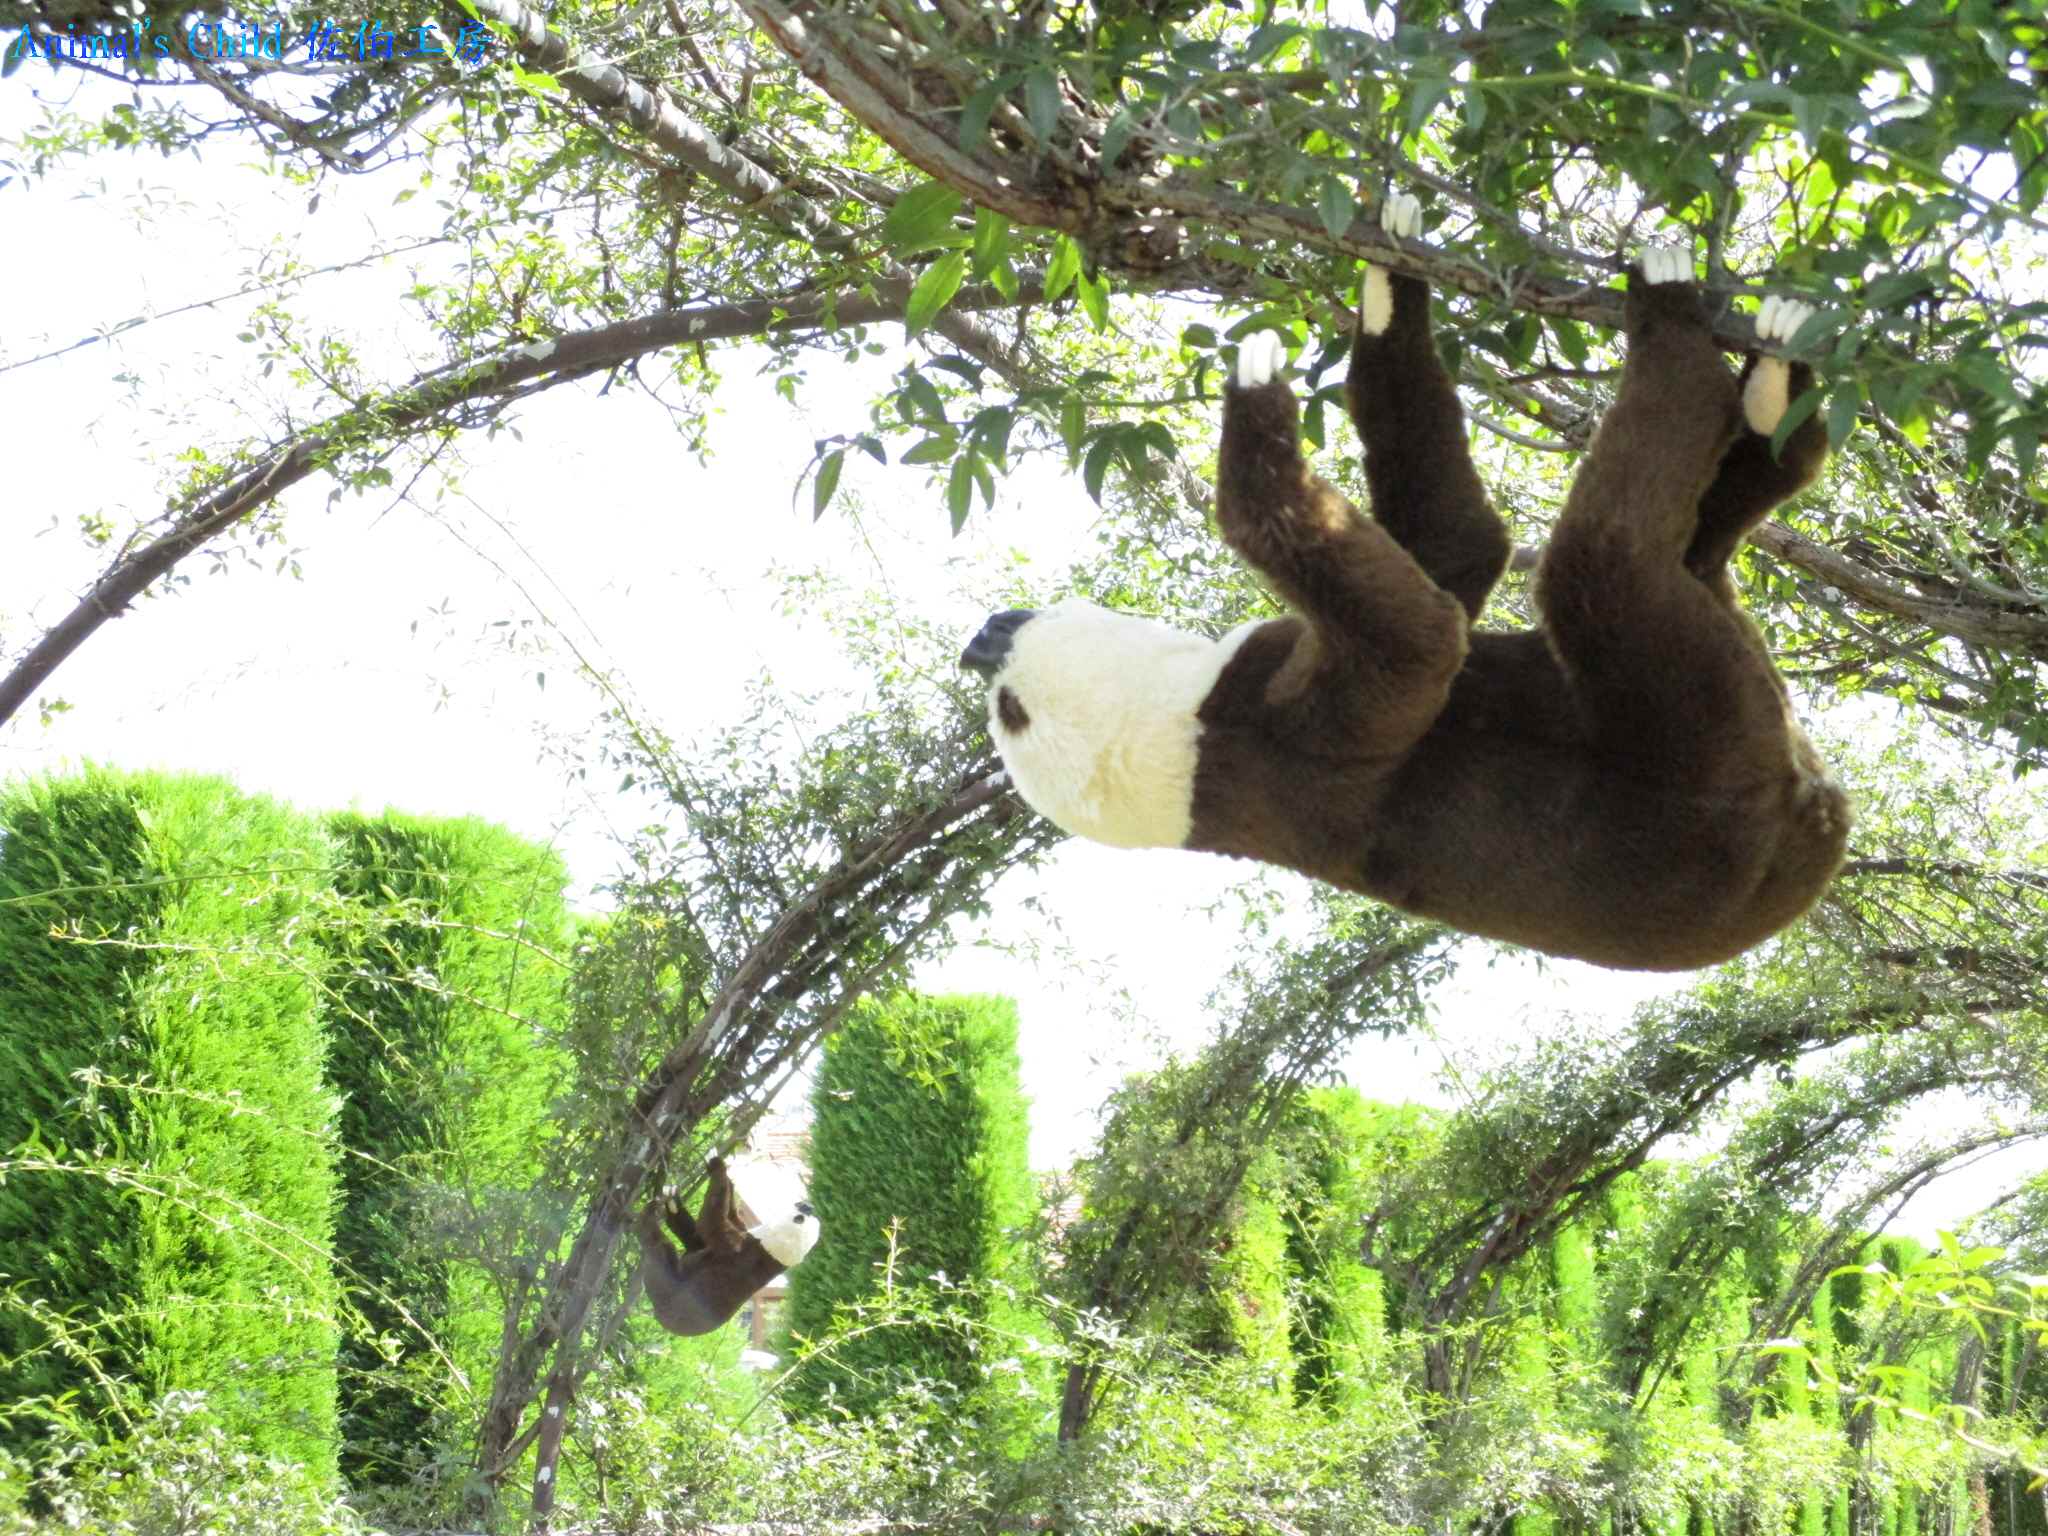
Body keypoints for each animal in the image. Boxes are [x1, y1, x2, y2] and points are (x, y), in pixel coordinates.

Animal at [637, 1156, 818, 1337]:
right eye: (804, 1211)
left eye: (800, 1216)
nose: (808, 1206)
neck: (771, 1251)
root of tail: (661, 1319)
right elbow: (704, 1234)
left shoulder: (736, 1249)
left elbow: (710, 1221)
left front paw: (717, 1165)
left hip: (667, 1290)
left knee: (659, 1252)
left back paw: (648, 1218)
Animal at [961, 197, 1849, 973]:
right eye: (1012, 711)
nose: (983, 635)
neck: (1185, 725)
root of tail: (1818, 828)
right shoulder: (1283, 737)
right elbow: (1423, 640)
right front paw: (1256, 394)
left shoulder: (1276, 651)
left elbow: (1454, 550)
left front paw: (1387, 279)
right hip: (1713, 776)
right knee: (1605, 562)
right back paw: (1673, 312)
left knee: (1706, 541)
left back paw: (1775, 389)